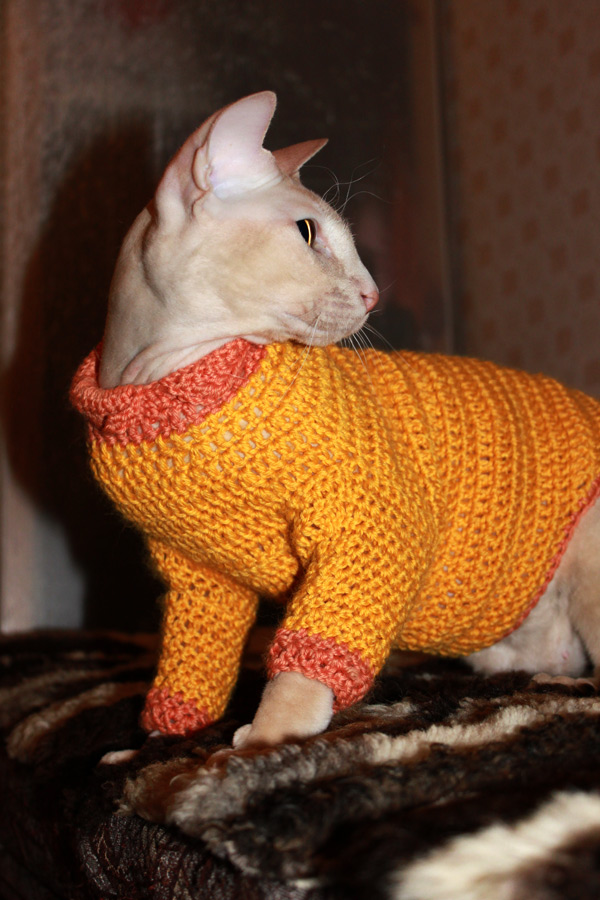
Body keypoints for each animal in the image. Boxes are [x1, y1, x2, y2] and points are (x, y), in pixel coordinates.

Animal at [71, 91, 600, 756]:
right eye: (307, 233)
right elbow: (191, 663)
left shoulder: (373, 524)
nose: (374, 294)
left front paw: (271, 737)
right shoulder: (199, 577)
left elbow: (313, 653)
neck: (161, 384)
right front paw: (158, 742)